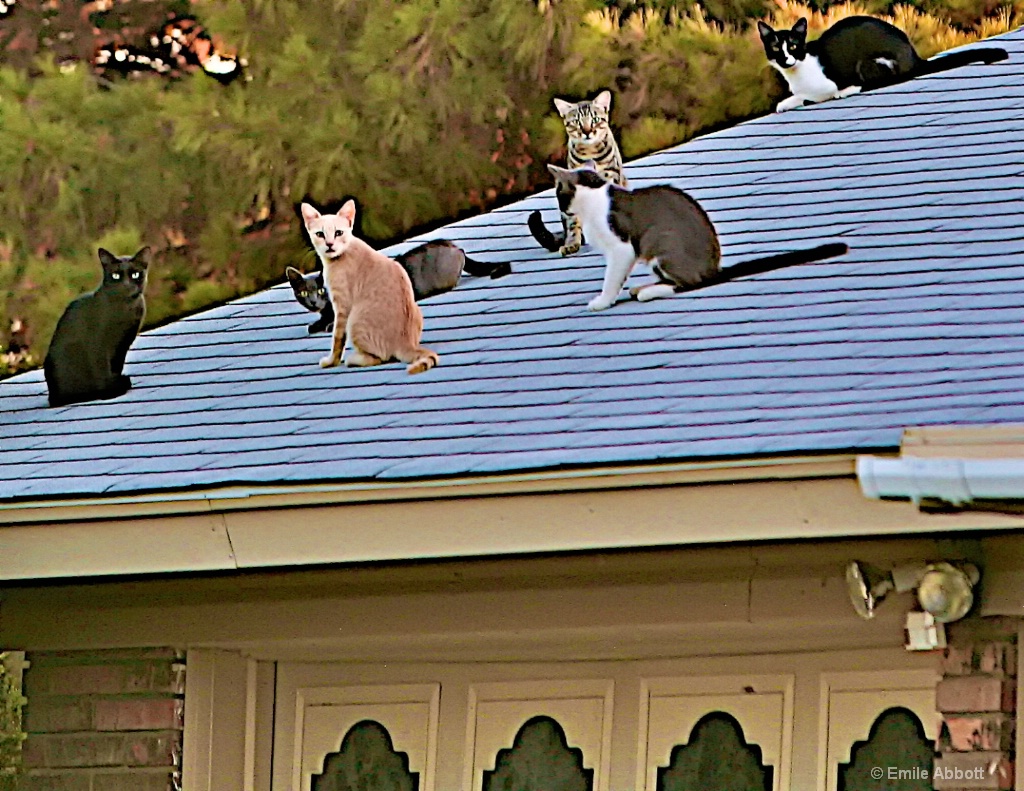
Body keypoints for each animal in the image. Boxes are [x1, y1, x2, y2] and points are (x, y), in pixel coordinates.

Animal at [44, 246, 149, 407]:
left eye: (135, 274)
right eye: (116, 276)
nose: (126, 285)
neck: (125, 309)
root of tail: (53, 397)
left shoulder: (123, 343)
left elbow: (116, 367)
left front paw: (115, 384)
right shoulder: (98, 344)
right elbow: (102, 370)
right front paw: (110, 392)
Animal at [299, 203, 436, 377]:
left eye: (338, 233)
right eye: (320, 234)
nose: (329, 244)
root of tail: (406, 343)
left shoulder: (342, 308)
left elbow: (337, 339)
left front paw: (331, 362)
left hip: (354, 321)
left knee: (380, 358)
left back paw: (354, 359)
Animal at [548, 161, 851, 311]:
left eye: (559, 195)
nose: (561, 210)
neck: (594, 202)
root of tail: (714, 268)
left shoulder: (621, 248)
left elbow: (612, 278)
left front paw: (602, 301)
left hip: (663, 245)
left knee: (689, 284)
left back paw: (648, 292)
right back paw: (642, 287)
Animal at [761, 15, 1007, 111]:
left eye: (793, 46)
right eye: (776, 48)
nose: (786, 59)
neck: (797, 73)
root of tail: (914, 57)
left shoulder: (824, 87)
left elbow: (810, 97)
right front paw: (786, 102)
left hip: (869, 62)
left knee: (883, 81)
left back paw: (847, 90)